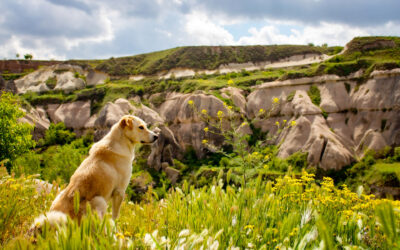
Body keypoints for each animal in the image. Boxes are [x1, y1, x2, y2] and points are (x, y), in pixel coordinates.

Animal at [30, 114, 158, 229]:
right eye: (141, 127)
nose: (156, 136)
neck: (121, 141)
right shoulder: (119, 191)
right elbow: (115, 216)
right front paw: (116, 228)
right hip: (99, 201)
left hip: (60, 194)